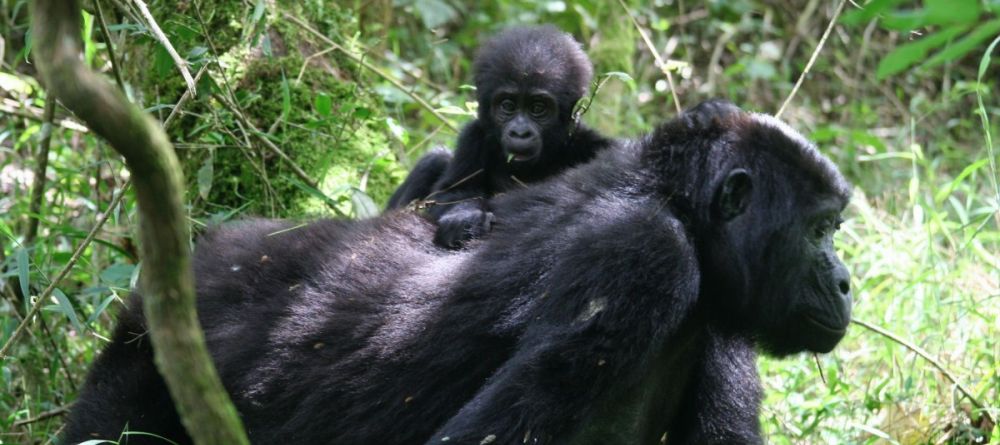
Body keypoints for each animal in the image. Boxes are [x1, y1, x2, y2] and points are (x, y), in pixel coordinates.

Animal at [388, 26, 616, 248]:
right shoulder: (473, 137)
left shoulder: (590, 143)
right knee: (434, 160)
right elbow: (450, 194)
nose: (520, 133)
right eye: (508, 105)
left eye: (538, 108)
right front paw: (464, 218)